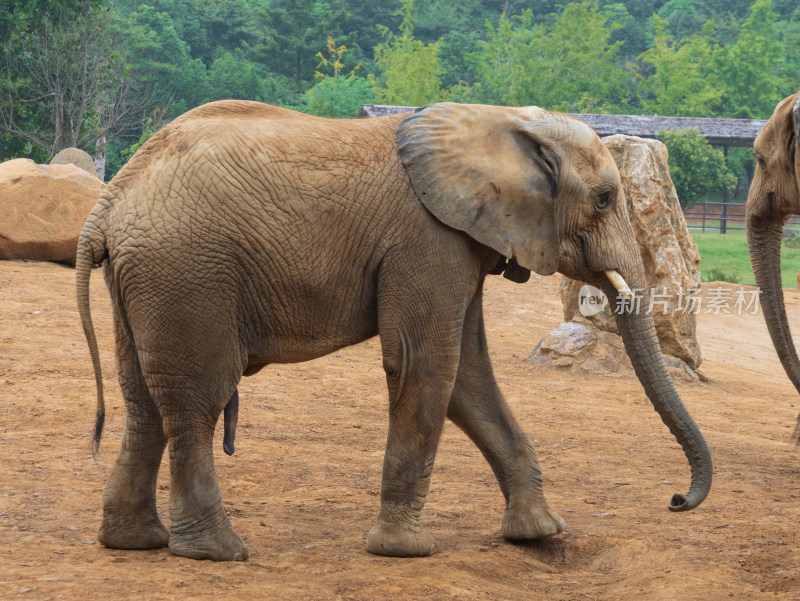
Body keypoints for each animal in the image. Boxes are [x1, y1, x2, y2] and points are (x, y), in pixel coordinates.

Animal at [76, 99, 712, 564]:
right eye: (604, 199)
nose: (677, 499)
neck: (501, 120)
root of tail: (110, 199)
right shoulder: (428, 238)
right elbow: (426, 364)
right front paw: (406, 551)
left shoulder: (462, 240)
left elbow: (468, 376)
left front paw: (540, 535)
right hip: (186, 271)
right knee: (196, 402)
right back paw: (218, 552)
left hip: (148, 277)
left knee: (143, 400)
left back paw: (135, 543)